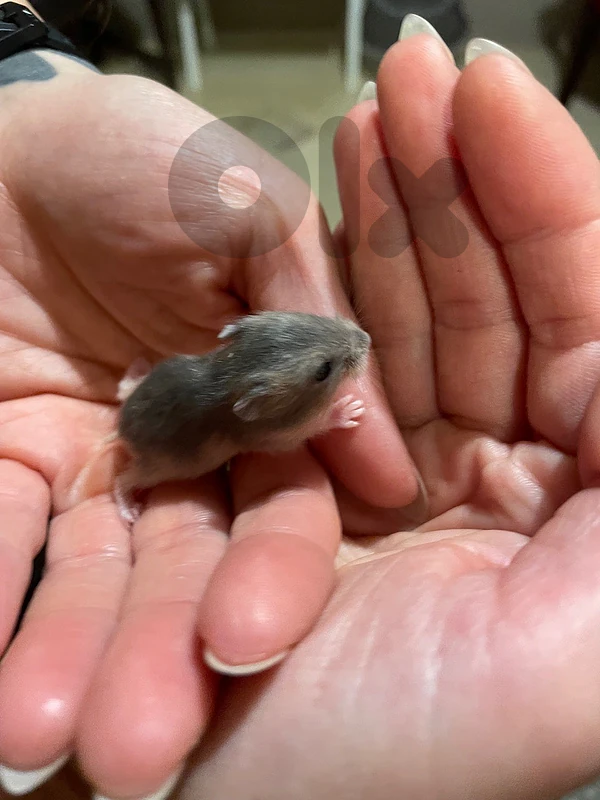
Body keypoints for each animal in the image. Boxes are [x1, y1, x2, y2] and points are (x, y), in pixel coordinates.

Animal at [95, 312, 371, 526]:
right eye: (323, 370)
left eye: (308, 317)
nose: (366, 338)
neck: (231, 375)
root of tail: (121, 429)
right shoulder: (282, 437)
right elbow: (319, 423)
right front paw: (350, 408)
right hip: (155, 469)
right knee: (122, 480)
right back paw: (129, 512)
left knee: (124, 388)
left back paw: (140, 364)